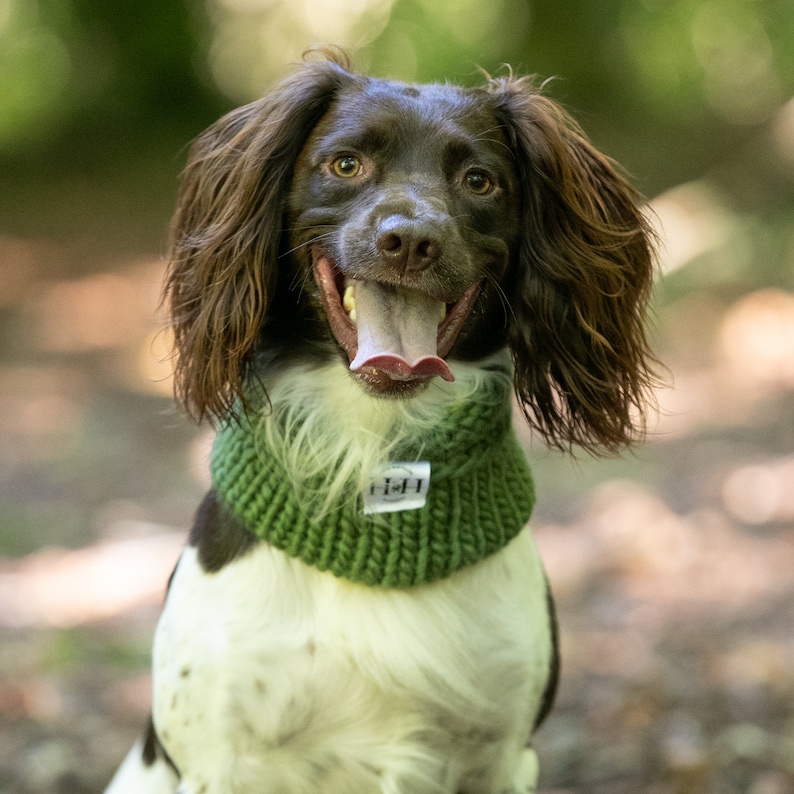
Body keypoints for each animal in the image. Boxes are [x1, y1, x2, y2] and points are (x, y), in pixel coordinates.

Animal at [102, 51, 652, 792]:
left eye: (479, 180)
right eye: (345, 165)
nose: (412, 241)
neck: (371, 452)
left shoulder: (502, 753)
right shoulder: (220, 754)